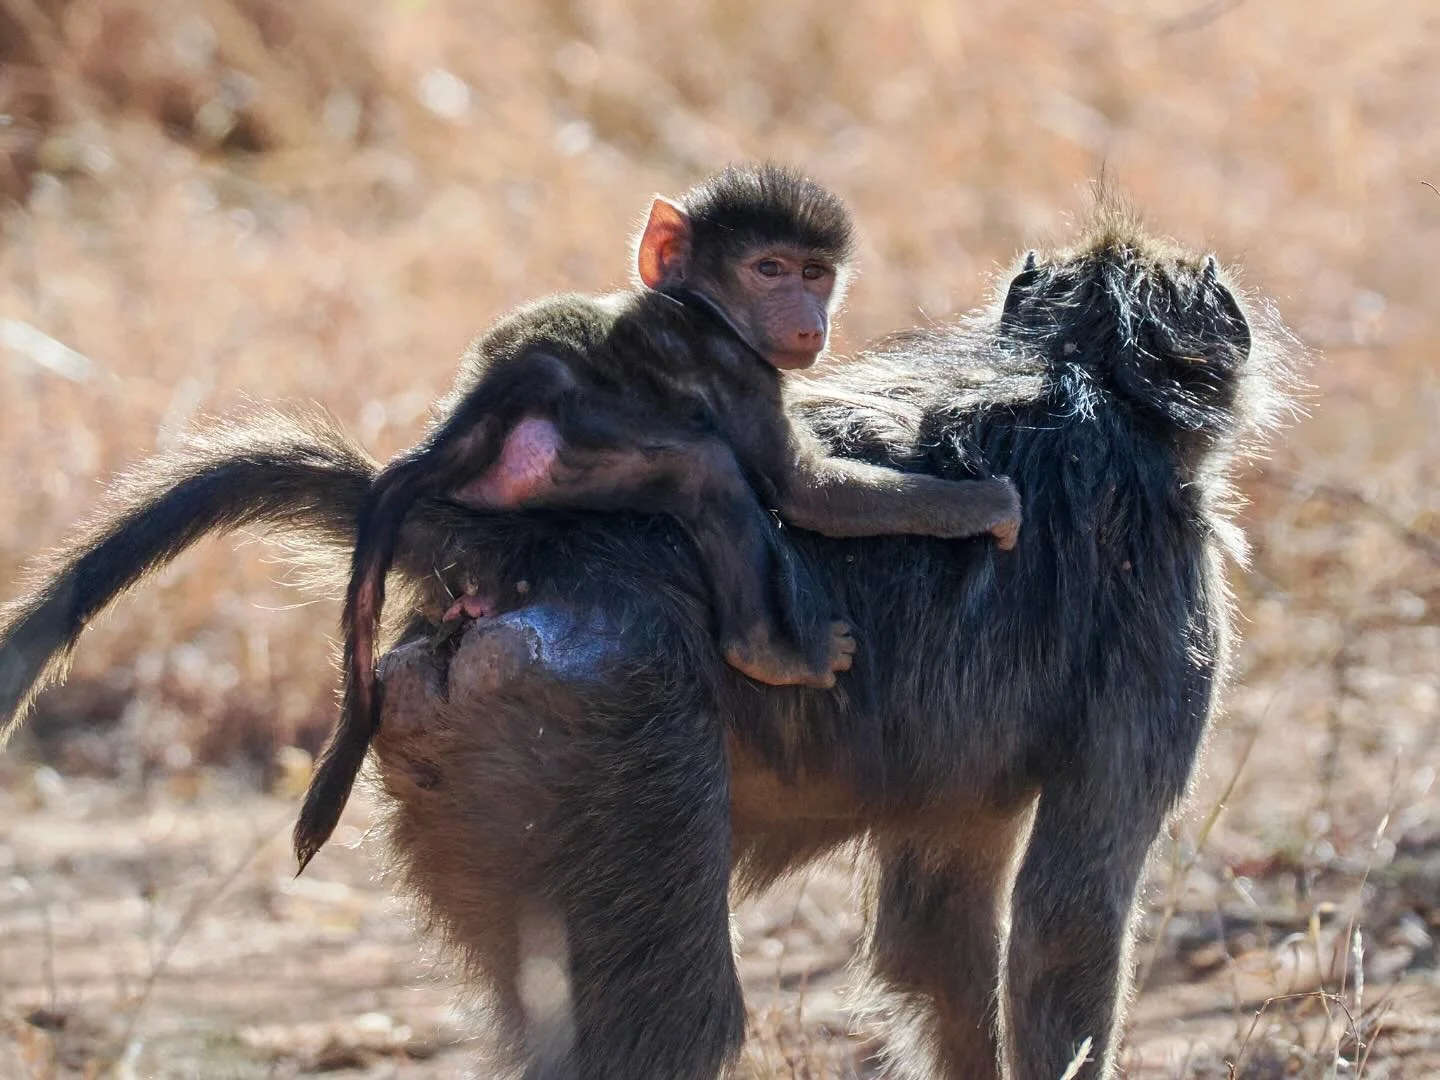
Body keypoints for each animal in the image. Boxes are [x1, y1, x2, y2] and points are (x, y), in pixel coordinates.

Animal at [302, 163, 1021, 870]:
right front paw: (987, 504)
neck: (704, 307)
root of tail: (480, 411)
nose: (809, 322)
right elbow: (805, 492)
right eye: (770, 269)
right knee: (710, 470)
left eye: (815, 272)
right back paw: (768, 650)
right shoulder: (740, 371)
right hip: (577, 458)